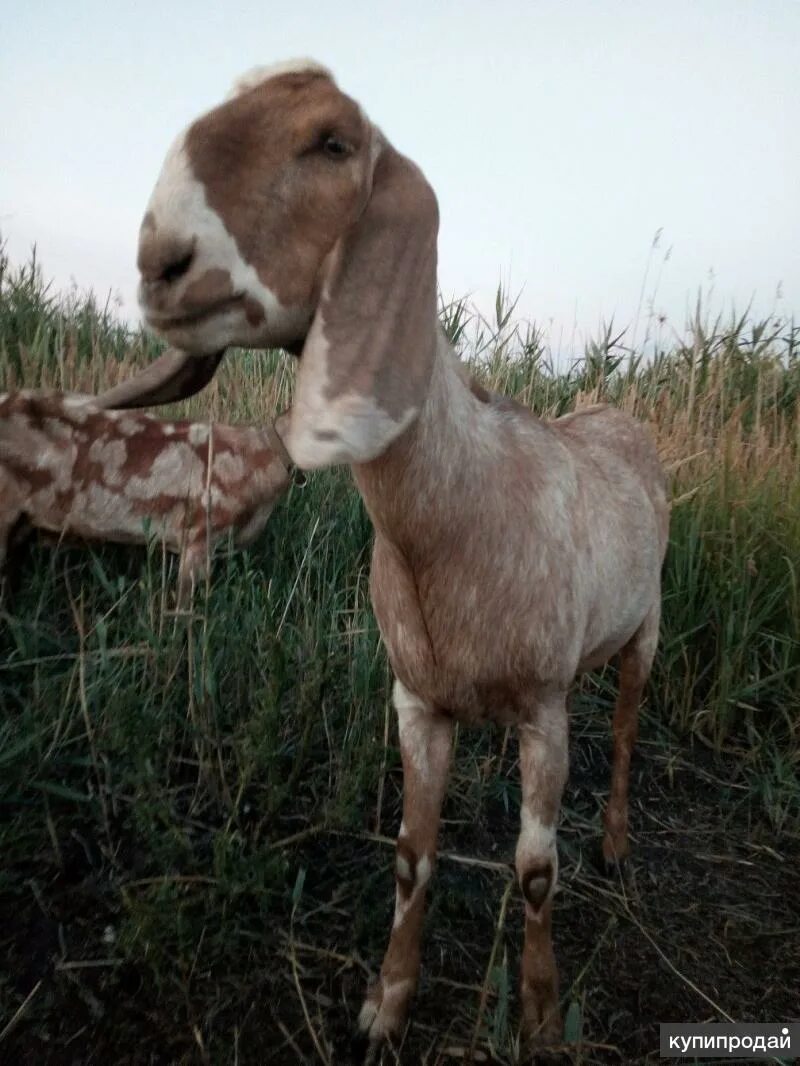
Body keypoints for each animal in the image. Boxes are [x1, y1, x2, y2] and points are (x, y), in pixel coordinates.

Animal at [101, 60, 669, 1057]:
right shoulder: (416, 701)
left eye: (334, 142)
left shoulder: (544, 709)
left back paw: (615, 840)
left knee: (633, 725)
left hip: (649, 626)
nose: (161, 263)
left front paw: (541, 1015)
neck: (455, 518)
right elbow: (411, 854)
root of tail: (616, 414)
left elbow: (534, 872)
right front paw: (385, 1004)